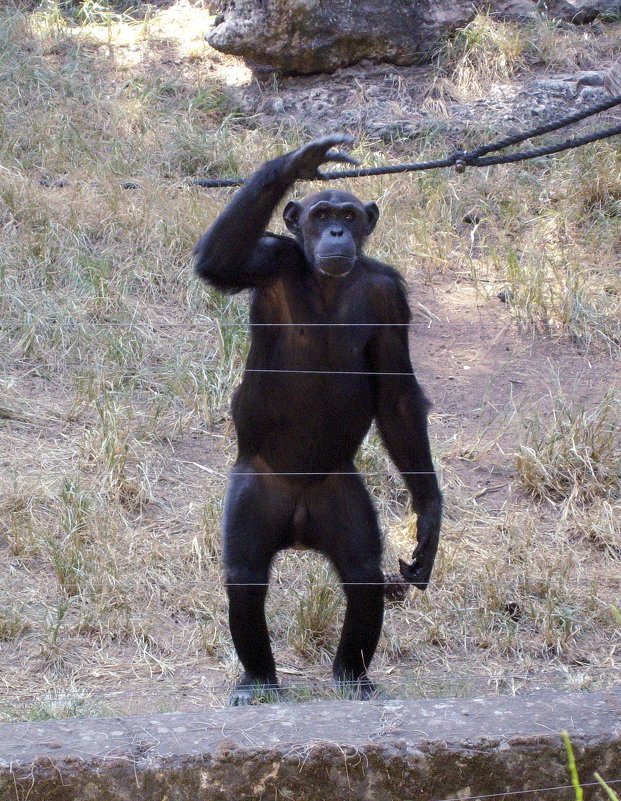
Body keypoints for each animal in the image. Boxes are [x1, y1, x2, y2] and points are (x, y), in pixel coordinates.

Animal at [194, 134, 440, 704]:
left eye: (348, 216)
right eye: (321, 213)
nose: (335, 231)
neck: (328, 286)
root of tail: (300, 526)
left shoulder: (390, 297)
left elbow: (397, 397)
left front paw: (429, 517)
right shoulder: (269, 260)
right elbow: (219, 261)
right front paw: (300, 161)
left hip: (339, 495)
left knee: (363, 573)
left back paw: (352, 676)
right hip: (258, 491)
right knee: (246, 574)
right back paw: (259, 680)